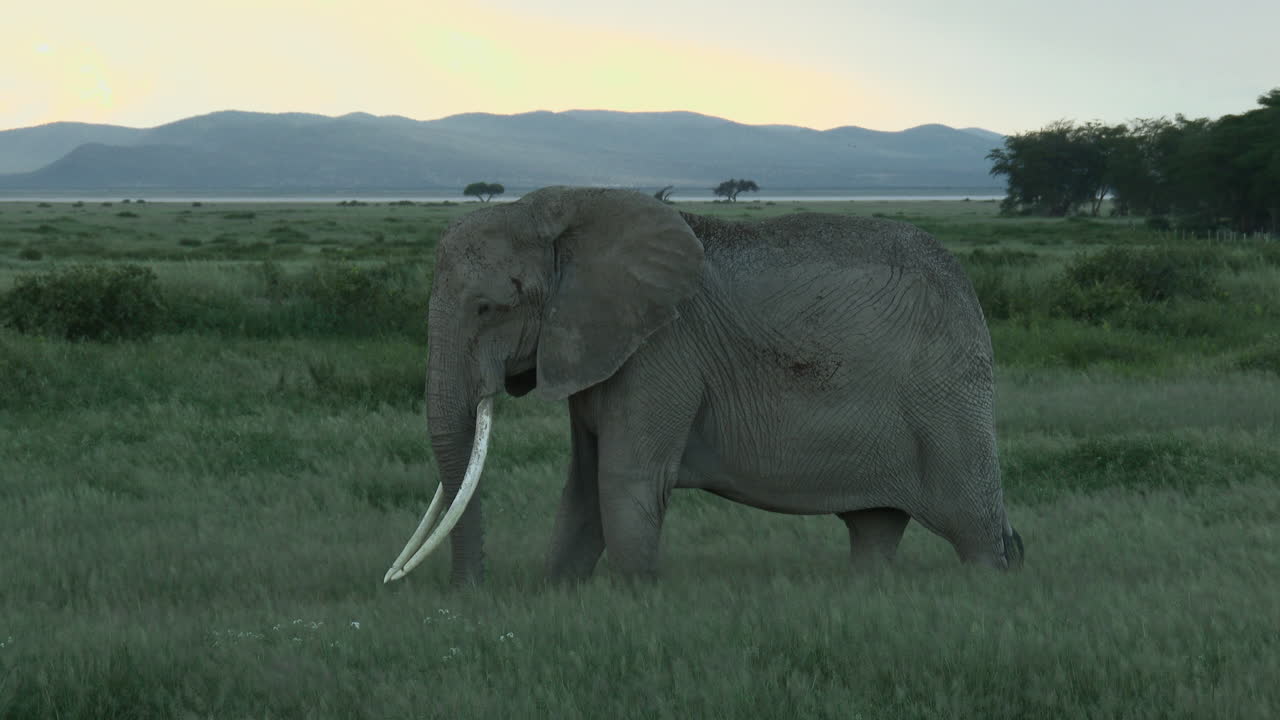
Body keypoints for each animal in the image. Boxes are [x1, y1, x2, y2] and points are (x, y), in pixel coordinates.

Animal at [384, 186, 1024, 586]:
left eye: (488, 308)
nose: (467, 596)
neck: (561, 211)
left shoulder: (663, 351)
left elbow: (623, 479)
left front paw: (635, 602)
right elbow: (584, 484)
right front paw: (558, 596)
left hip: (947, 393)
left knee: (974, 531)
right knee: (874, 528)